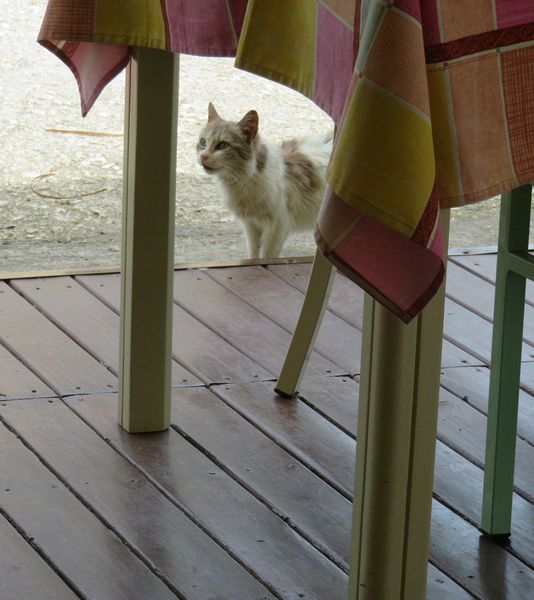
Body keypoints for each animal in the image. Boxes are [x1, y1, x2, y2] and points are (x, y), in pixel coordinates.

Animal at [198, 103, 330, 258]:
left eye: (223, 145)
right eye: (203, 142)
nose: (203, 156)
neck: (244, 180)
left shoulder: (277, 227)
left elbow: (267, 256)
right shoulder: (251, 225)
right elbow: (254, 254)